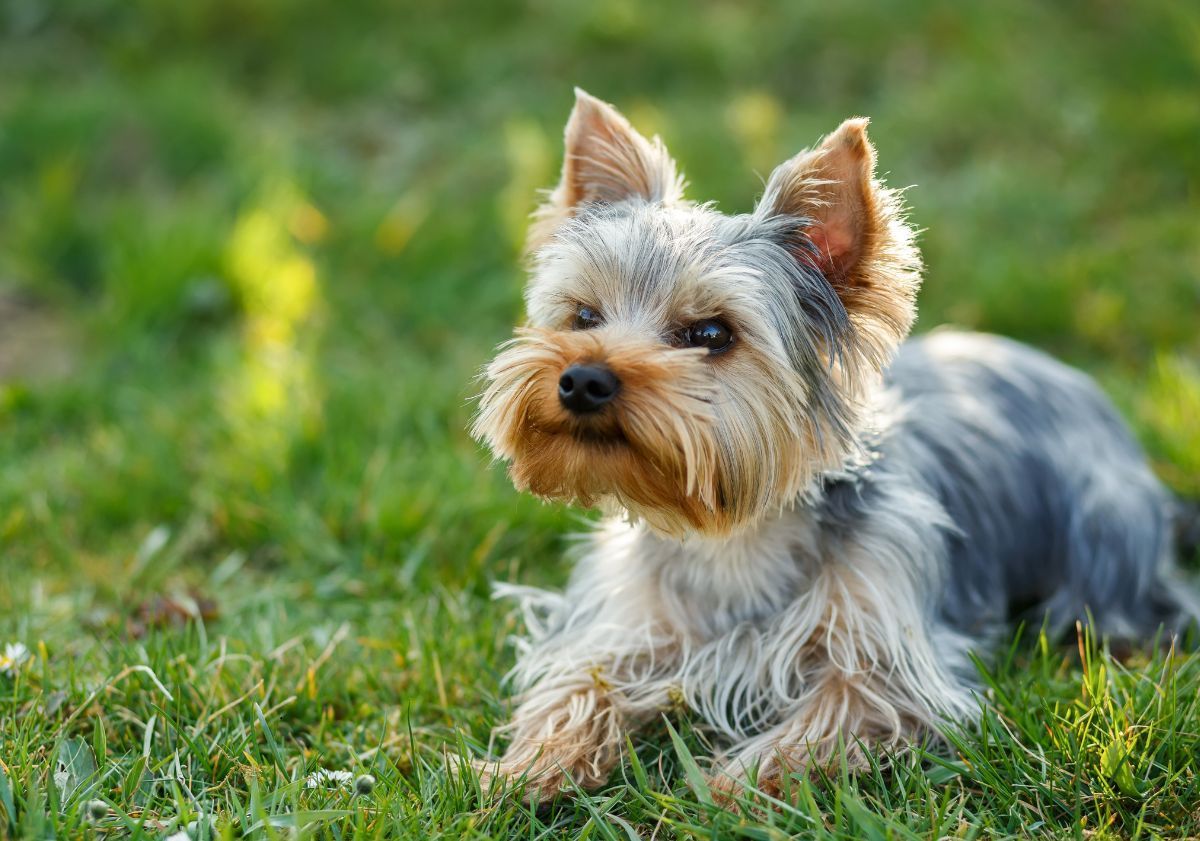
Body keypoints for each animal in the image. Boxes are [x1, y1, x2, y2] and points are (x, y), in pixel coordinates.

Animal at [465, 88, 1200, 796]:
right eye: (584, 316)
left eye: (712, 334)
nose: (583, 379)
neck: (732, 533)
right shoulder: (627, 620)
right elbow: (579, 681)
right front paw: (524, 768)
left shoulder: (895, 655)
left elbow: (842, 707)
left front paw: (734, 787)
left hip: (1101, 531)